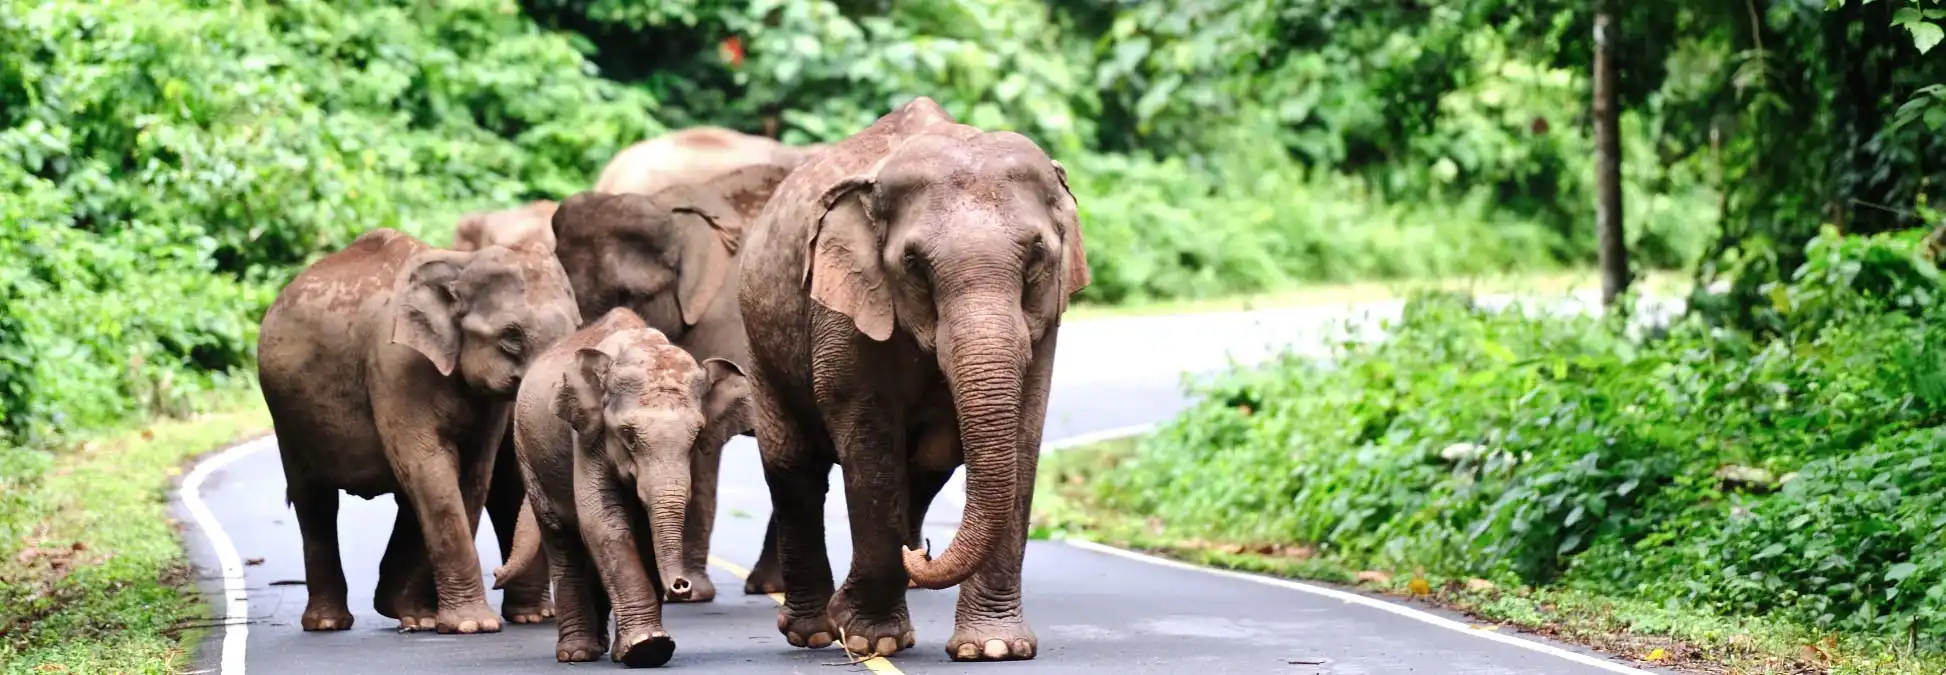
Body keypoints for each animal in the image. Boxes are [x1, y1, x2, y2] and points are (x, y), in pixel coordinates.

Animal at [254, 231, 579, 634]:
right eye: (511, 337)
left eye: (578, 329)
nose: (497, 574)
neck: (460, 263)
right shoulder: (396, 367)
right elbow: (430, 467)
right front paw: (470, 626)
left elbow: (471, 475)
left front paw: (434, 618)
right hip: (286, 416)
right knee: (315, 499)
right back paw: (330, 623)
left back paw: (409, 613)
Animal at [486, 309, 751, 669]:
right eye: (628, 435)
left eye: (697, 435)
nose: (681, 586)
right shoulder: (588, 436)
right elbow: (603, 522)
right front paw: (647, 648)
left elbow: (639, 531)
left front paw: (644, 649)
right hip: (527, 449)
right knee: (561, 538)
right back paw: (577, 654)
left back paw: (600, 648)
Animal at [731, 95, 1097, 661]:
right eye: (914, 265)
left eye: (1037, 259)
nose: (922, 551)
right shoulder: (842, 309)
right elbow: (868, 439)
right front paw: (871, 638)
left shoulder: (1046, 323)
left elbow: (1023, 432)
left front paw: (994, 649)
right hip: (759, 341)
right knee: (794, 467)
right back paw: (814, 632)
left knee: (926, 470)